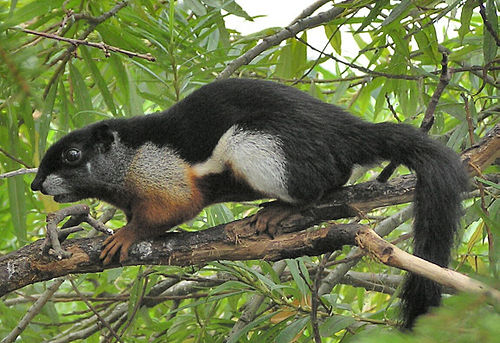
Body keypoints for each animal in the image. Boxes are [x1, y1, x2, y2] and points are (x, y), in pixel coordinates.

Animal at [31, 78, 468, 328]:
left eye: (72, 155)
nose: (35, 184)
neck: (130, 159)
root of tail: (348, 134)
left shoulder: (166, 176)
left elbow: (170, 210)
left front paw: (126, 234)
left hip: (259, 144)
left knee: (326, 182)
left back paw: (282, 209)